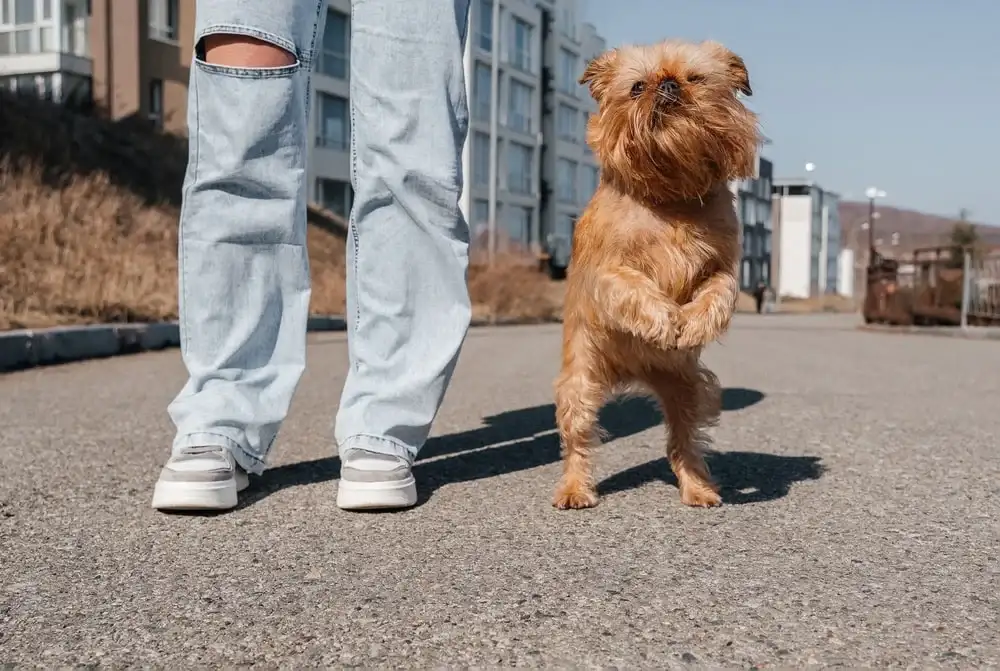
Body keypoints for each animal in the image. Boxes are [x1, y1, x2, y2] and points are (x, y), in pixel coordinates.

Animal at [556, 38, 756, 510]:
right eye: (636, 87)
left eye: (695, 78)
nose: (667, 85)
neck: (669, 198)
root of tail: (629, 373)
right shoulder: (606, 274)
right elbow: (636, 288)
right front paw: (665, 321)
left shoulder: (723, 267)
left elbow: (720, 292)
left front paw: (695, 322)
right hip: (580, 383)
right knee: (578, 441)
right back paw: (575, 490)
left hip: (689, 389)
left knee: (683, 442)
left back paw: (698, 488)